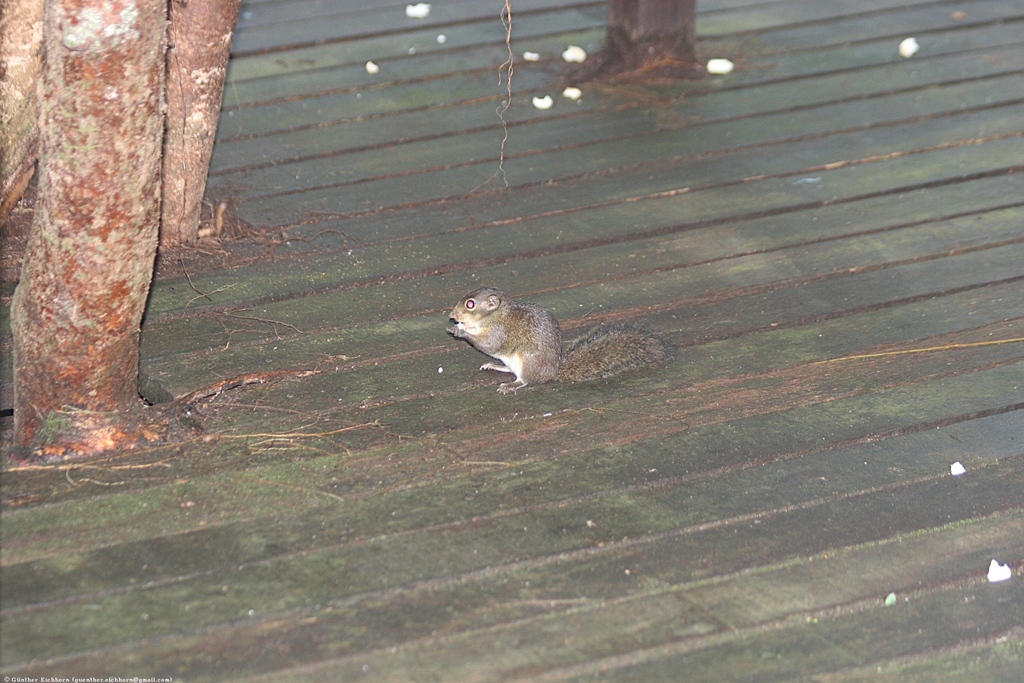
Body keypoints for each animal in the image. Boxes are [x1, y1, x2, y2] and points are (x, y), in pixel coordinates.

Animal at [447, 287, 671, 394]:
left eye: (470, 304)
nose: (451, 315)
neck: (493, 316)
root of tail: (552, 371)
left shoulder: (499, 331)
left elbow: (489, 344)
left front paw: (460, 331)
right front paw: (461, 327)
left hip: (527, 362)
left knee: (525, 380)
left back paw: (511, 385)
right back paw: (495, 365)